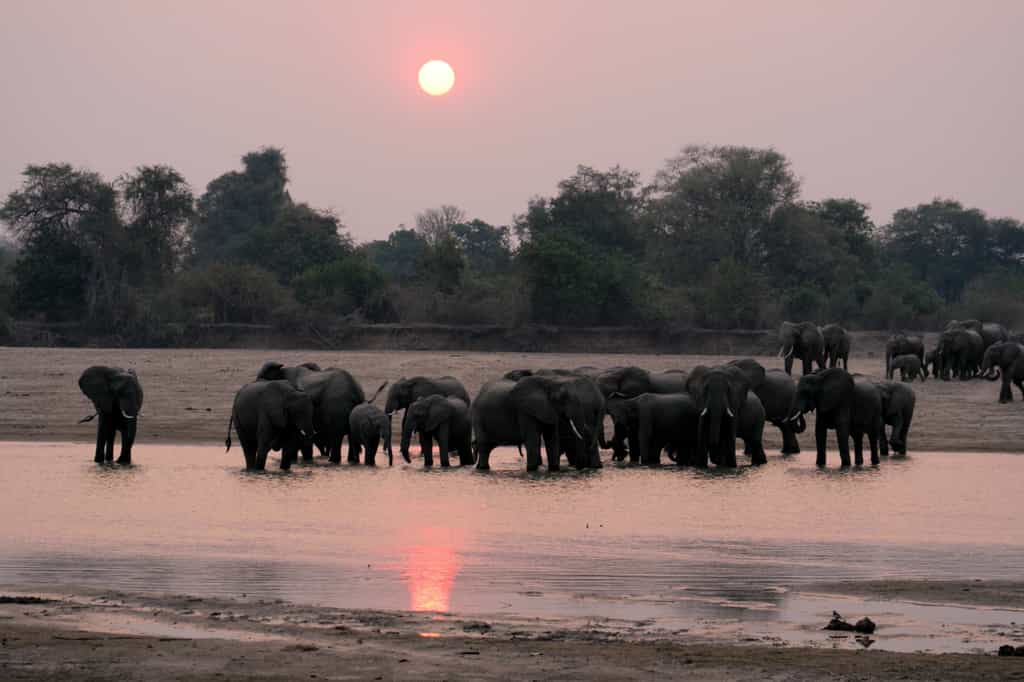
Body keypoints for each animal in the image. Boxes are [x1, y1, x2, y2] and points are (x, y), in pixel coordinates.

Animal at [473, 375, 604, 472]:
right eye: (563, 398)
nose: (580, 468)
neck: (550, 383)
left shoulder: (549, 410)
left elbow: (552, 439)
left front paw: (554, 470)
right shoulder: (525, 411)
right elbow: (533, 440)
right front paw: (532, 470)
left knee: (487, 446)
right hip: (478, 416)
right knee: (484, 445)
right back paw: (483, 468)